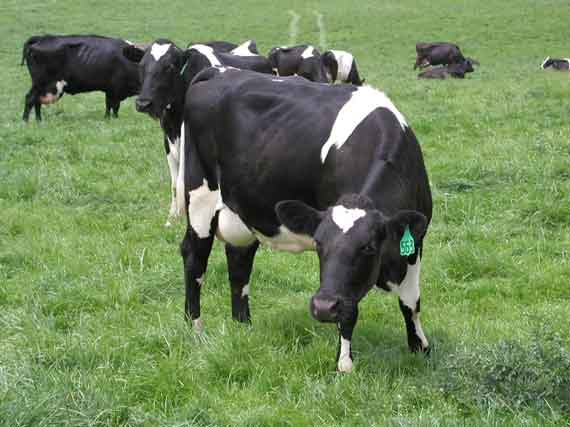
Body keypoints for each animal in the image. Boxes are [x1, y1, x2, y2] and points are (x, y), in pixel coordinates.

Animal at [122, 39, 272, 226]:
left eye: (169, 66)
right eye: (141, 66)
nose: (143, 103)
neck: (176, 115)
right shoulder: (168, 140)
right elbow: (174, 183)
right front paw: (172, 218)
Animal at [177, 67, 433, 373]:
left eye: (369, 247)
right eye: (319, 244)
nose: (322, 307)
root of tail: (218, 71)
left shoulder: (415, 242)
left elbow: (411, 301)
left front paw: (419, 347)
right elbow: (349, 311)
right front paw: (345, 364)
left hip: (244, 209)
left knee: (239, 262)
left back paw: (243, 327)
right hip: (200, 197)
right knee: (194, 257)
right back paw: (195, 328)